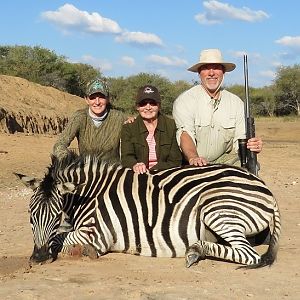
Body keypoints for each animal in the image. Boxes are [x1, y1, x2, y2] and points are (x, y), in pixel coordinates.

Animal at [15, 152, 280, 270]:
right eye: (31, 215)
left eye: (56, 214)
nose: (38, 258)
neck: (89, 195)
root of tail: (266, 189)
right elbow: (59, 235)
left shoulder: (97, 234)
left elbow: (61, 238)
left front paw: (79, 251)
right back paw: (196, 251)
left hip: (217, 208)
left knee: (249, 254)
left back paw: (194, 251)